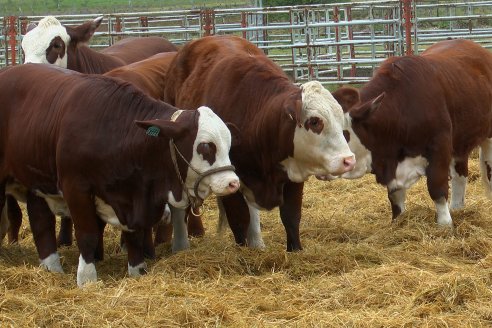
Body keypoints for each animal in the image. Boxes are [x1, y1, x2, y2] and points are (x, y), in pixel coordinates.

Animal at [0, 62, 239, 286]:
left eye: (228, 144)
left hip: (35, 183)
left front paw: (137, 270)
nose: (233, 183)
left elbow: (135, 237)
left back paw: (52, 267)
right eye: (205, 146)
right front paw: (87, 278)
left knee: (40, 220)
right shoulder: (76, 188)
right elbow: (87, 235)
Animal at [163, 35, 356, 251]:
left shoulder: (293, 175)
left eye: (340, 117)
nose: (348, 160)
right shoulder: (230, 180)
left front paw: (295, 251)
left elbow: (291, 217)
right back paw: (181, 246)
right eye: (314, 121)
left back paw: (257, 242)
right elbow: (239, 220)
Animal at [332, 38, 492, 227]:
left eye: (343, 133)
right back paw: (457, 207)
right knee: (460, 174)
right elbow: (395, 195)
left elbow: (437, 187)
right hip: (460, 141)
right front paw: (398, 222)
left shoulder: (439, 146)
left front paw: (444, 224)